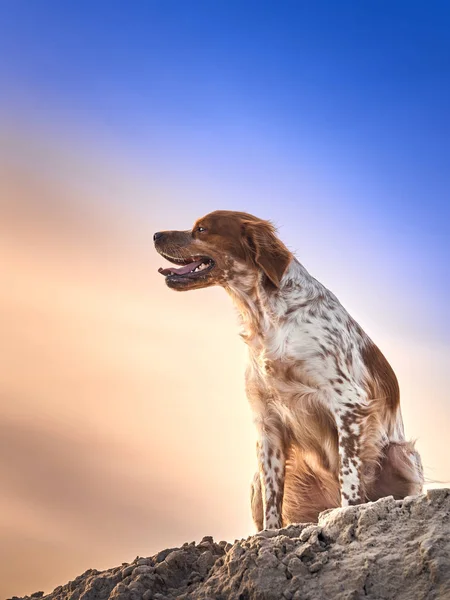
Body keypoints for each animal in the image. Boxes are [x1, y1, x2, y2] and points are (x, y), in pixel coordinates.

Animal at [154, 210, 422, 528]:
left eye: (202, 229)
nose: (156, 235)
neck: (266, 317)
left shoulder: (348, 402)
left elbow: (349, 475)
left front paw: (346, 512)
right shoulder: (266, 420)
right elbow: (273, 497)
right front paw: (270, 532)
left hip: (400, 452)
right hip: (256, 477)